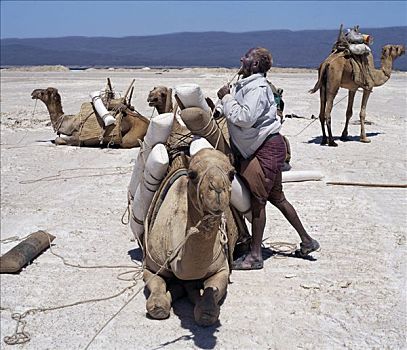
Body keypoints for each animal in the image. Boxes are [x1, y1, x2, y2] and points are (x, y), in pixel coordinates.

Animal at [143, 149, 237, 326]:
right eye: (192, 174)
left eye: (232, 174)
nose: (217, 188)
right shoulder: (151, 267)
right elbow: (157, 295)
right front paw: (160, 304)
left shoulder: (222, 270)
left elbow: (207, 309)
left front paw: (205, 307)